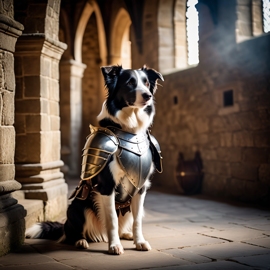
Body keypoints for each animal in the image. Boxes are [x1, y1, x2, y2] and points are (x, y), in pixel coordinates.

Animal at [26, 65, 163, 255]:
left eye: (147, 83)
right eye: (130, 83)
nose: (148, 96)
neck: (130, 130)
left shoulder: (140, 187)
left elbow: (137, 221)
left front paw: (139, 241)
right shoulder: (106, 186)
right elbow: (112, 219)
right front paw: (114, 246)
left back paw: (126, 234)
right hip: (78, 207)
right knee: (72, 233)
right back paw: (81, 241)